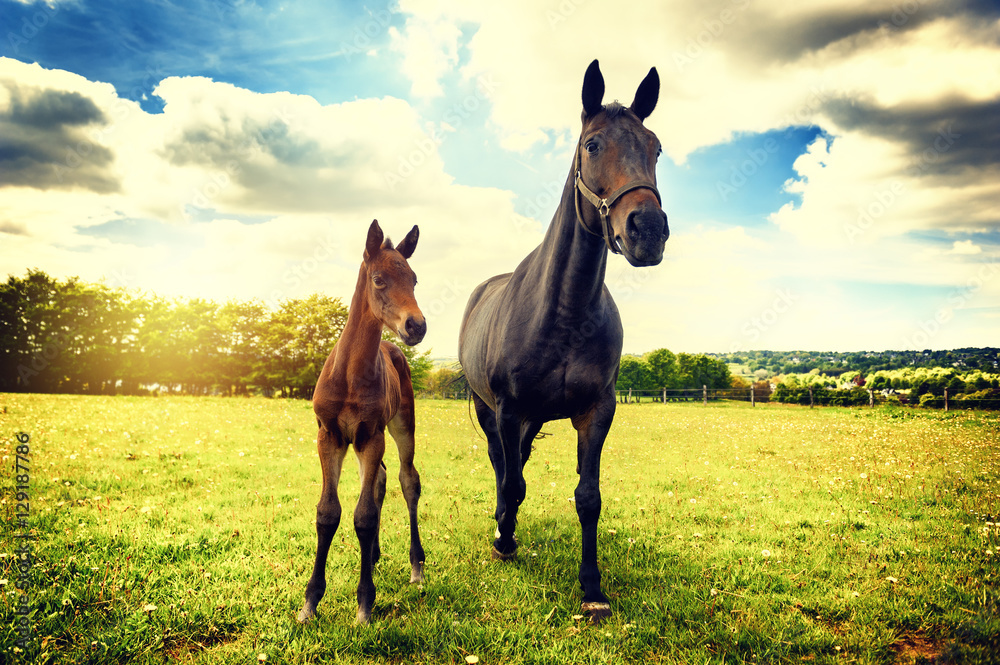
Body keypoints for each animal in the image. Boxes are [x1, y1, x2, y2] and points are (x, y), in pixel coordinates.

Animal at [294, 220, 424, 624]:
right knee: (380, 477)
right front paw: (310, 602)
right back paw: (376, 555)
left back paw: (417, 566)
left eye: (414, 279)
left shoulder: (371, 434)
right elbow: (327, 513)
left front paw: (365, 603)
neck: (351, 374)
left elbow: (363, 515)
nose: (417, 326)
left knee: (407, 480)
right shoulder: (330, 435)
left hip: (402, 423)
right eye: (379, 279)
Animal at [458, 59, 664, 620]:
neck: (565, 313)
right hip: (490, 410)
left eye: (655, 147)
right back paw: (501, 525)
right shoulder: (507, 409)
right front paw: (505, 540)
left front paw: (592, 588)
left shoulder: (597, 410)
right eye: (592, 145)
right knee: (502, 465)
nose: (648, 229)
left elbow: (588, 497)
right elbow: (510, 480)